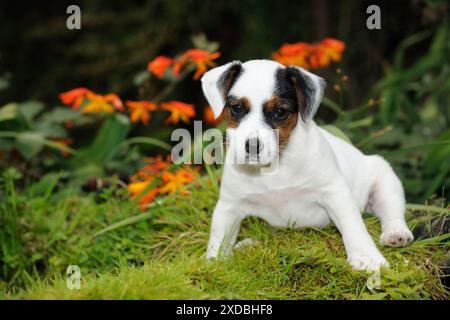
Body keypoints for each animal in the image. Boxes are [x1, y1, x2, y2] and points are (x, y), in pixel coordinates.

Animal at [202, 59, 414, 270]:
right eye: (237, 108)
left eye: (280, 112)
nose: (252, 146)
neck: (275, 166)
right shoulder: (229, 205)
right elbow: (219, 237)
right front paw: (214, 262)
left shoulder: (335, 193)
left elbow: (352, 225)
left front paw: (366, 256)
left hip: (385, 182)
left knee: (392, 212)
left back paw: (396, 233)